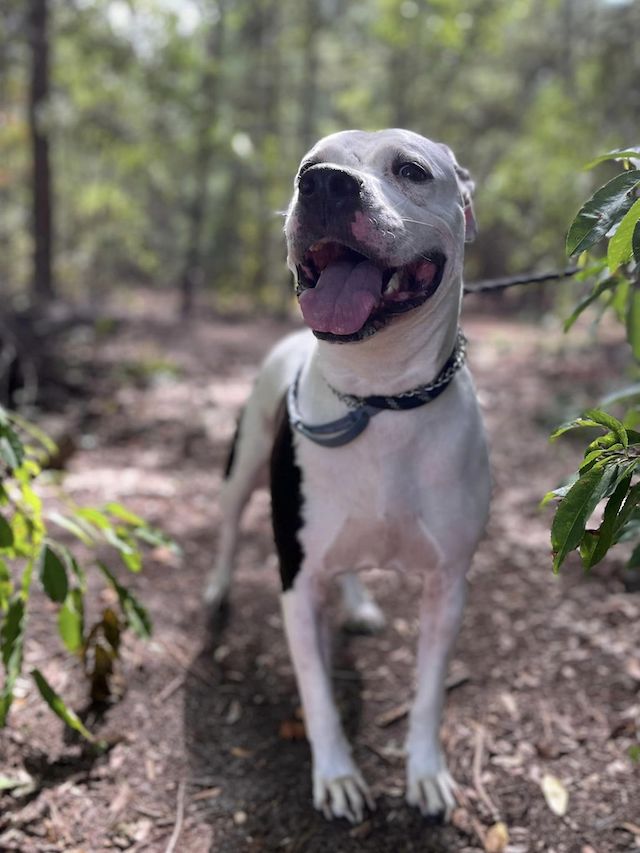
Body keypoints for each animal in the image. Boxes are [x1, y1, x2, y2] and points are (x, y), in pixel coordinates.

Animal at [205, 130, 490, 824]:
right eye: (306, 168)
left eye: (411, 170)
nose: (326, 184)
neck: (380, 398)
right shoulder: (298, 581)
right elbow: (317, 696)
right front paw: (336, 776)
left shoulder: (448, 586)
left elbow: (429, 695)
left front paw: (426, 774)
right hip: (243, 463)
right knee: (227, 526)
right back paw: (218, 589)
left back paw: (358, 604)